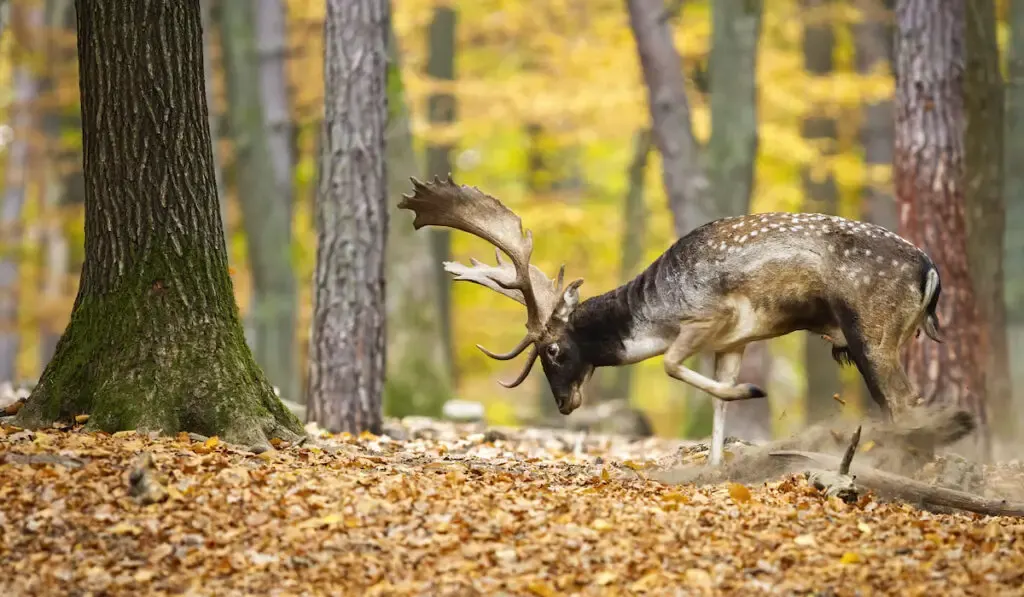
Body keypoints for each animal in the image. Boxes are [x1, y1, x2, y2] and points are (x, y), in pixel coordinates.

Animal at [395, 175, 937, 464]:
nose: (565, 404)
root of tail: (930, 270)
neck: (656, 310)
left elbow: (671, 366)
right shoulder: (733, 342)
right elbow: (718, 404)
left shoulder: (706, 319)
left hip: (873, 330)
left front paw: (752, 393)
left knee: (905, 400)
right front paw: (716, 464)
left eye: (554, 349)